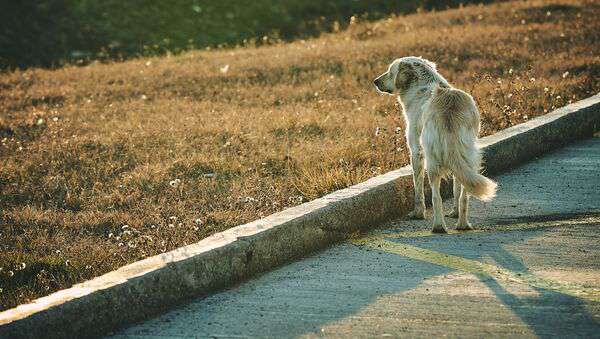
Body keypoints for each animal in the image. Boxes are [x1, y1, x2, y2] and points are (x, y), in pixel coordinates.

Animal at [376, 56, 496, 234]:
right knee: (464, 195)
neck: (422, 84)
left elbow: (418, 189)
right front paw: (454, 212)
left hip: (431, 163)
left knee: (436, 196)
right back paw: (462, 224)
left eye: (390, 72)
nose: (375, 81)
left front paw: (418, 213)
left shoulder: (416, 152)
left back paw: (438, 226)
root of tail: (450, 111)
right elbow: (456, 188)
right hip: (470, 158)